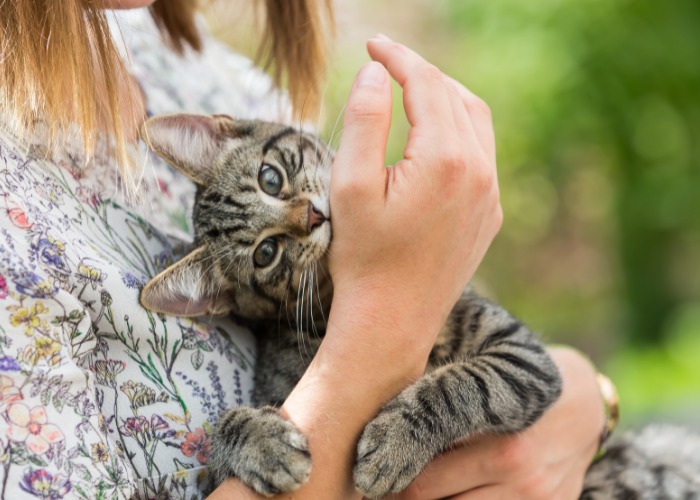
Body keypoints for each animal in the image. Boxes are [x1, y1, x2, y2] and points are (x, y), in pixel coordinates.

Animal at [138, 114, 700, 500]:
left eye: (270, 178)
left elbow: (467, 383)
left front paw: (395, 440)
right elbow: (218, 442)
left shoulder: (524, 356)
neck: (330, 302)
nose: (313, 216)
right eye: (266, 253)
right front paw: (259, 441)